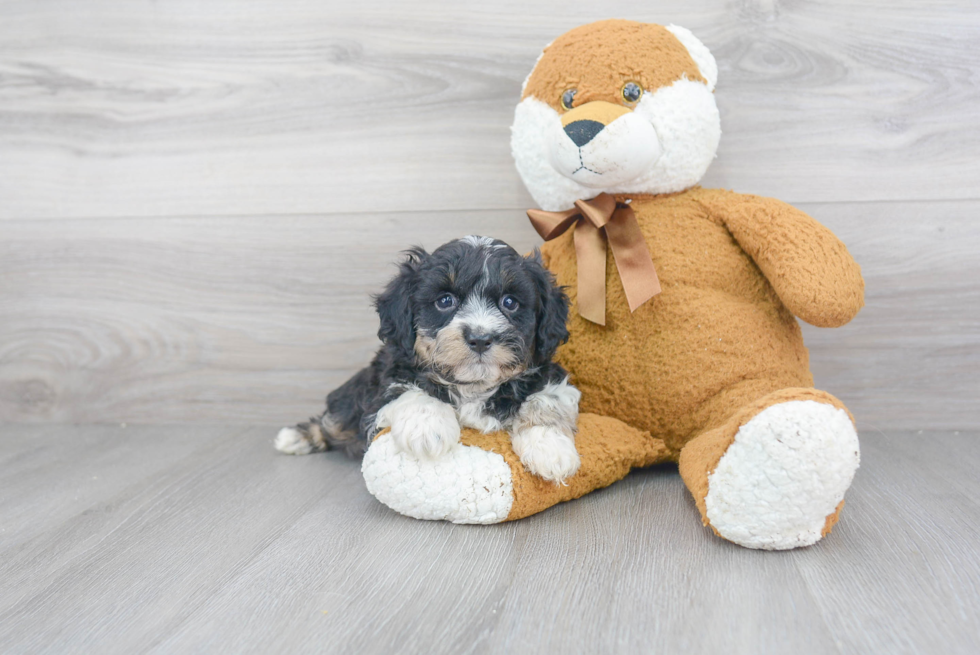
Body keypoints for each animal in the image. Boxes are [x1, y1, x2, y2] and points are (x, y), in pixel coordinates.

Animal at [274, 236, 580, 482]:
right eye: (444, 301)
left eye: (510, 302)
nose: (480, 338)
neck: (473, 386)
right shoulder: (387, 380)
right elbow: (411, 389)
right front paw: (428, 430)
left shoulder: (550, 377)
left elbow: (547, 400)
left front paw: (551, 448)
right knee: (334, 421)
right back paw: (295, 437)